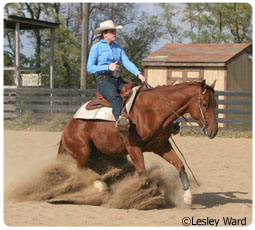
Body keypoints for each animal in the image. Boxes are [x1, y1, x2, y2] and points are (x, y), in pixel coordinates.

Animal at [58, 79, 218, 205]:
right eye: (204, 104)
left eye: (215, 104)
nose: (214, 131)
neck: (154, 110)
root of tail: (70, 124)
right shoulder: (133, 148)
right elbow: (142, 173)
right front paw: (144, 197)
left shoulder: (161, 146)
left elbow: (179, 165)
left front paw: (187, 197)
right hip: (83, 151)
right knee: (81, 173)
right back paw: (99, 187)